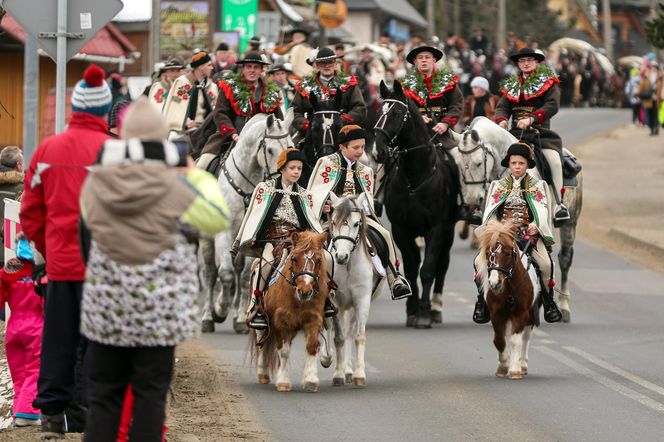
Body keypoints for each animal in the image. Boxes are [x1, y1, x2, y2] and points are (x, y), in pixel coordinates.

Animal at [200, 109, 294, 332]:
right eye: (270, 149)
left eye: (290, 146)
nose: (281, 181)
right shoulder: (223, 233)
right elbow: (225, 274)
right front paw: (220, 309)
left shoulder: (254, 236)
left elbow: (243, 277)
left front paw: (241, 318)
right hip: (206, 238)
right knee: (209, 273)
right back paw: (208, 316)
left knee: (238, 269)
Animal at [252, 230, 330, 392]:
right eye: (294, 259)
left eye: (319, 260)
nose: (305, 291)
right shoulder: (282, 322)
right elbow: (284, 351)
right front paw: (283, 382)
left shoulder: (313, 319)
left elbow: (312, 346)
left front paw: (310, 380)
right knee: (262, 341)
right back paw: (263, 374)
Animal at [326, 193, 386, 386]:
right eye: (334, 222)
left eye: (356, 223)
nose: (341, 256)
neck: (349, 265)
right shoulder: (336, 301)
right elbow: (338, 337)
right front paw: (337, 374)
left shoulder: (361, 300)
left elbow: (358, 336)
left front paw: (359, 374)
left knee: (350, 332)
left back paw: (349, 371)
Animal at [376, 81, 460, 328]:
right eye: (379, 111)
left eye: (396, 113)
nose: (380, 151)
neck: (415, 178)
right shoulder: (401, 229)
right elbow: (412, 268)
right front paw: (412, 311)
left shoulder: (437, 228)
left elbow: (428, 270)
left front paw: (423, 314)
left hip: (448, 231)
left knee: (442, 265)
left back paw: (435, 309)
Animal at [478, 221, 540, 380]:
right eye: (487, 254)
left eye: (507, 253)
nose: (494, 283)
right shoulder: (497, 314)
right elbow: (500, 340)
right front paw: (502, 366)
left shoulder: (521, 313)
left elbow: (515, 340)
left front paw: (515, 369)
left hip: (531, 315)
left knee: (525, 337)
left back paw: (522, 365)